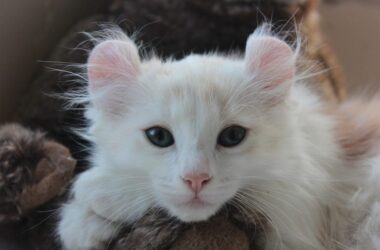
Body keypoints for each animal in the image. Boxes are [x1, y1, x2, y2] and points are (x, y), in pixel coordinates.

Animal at [57, 24, 380, 249]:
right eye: (158, 137)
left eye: (232, 136)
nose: (195, 179)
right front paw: (85, 223)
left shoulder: (300, 207)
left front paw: (98, 191)